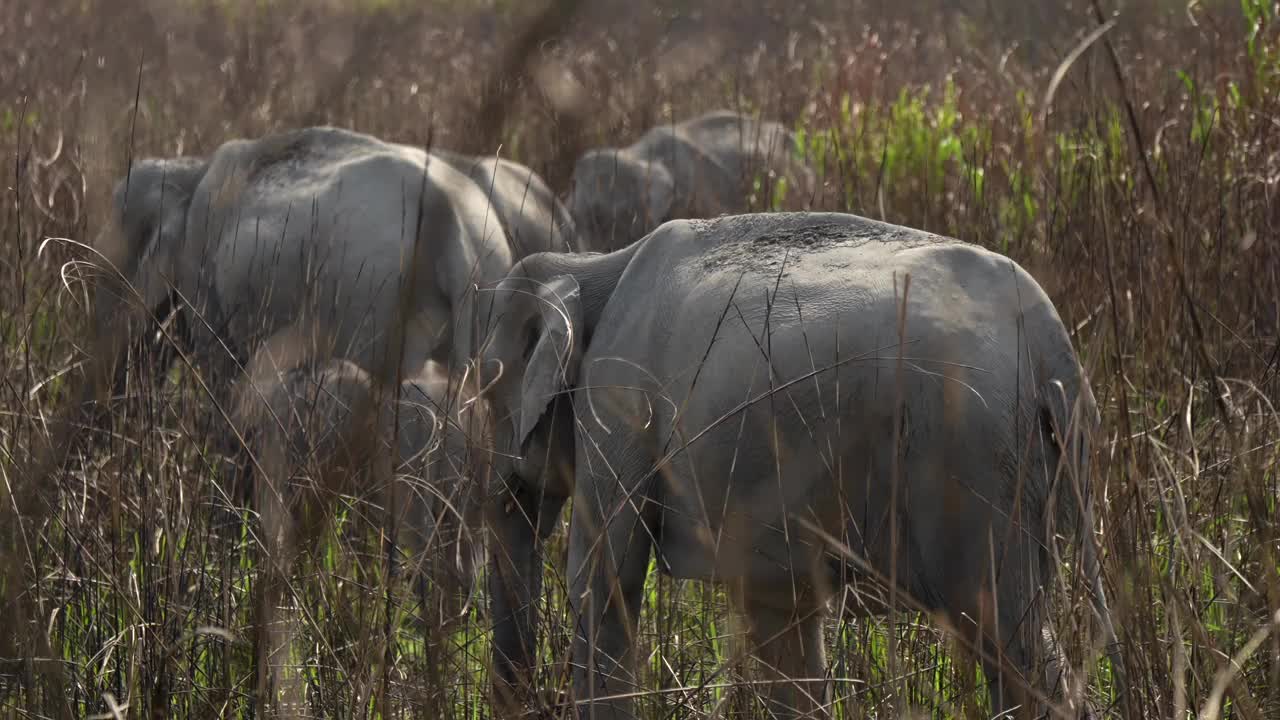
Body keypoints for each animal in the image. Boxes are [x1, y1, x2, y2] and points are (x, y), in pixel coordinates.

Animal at [468, 211, 1121, 717]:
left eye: (485, 395)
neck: (591, 264)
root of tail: (1052, 348)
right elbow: (782, 620)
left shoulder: (617, 406)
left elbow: (605, 583)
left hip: (969, 464)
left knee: (1005, 638)